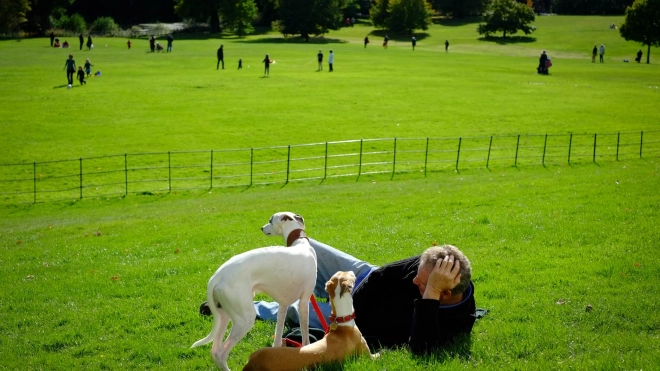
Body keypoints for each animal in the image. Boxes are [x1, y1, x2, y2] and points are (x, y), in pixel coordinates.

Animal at [191, 212, 318, 371]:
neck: (300, 243)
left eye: (270, 220)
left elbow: (277, 338)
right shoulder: (304, 302)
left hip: (223, 315)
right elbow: (306, 336)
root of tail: (217, 276)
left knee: (214, 351)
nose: (262, 228)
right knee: (221, 353)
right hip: (245, 318)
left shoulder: (283, 304)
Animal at [242, 270, 378, 371]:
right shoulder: (367, 354)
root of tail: (250, 364)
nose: (352, 271)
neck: (342, 324)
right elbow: (377, 354)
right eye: (349, 275)